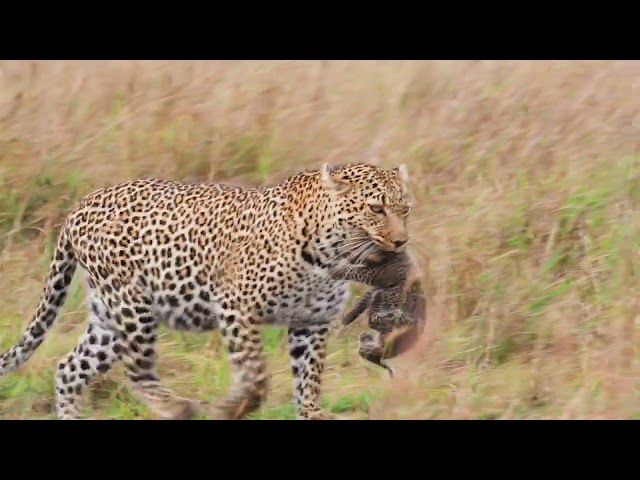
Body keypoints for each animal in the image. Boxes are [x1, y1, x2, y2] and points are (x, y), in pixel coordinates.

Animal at [0, 162, 412, 420]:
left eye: (405, 209)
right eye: (376, 208)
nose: (401, 242)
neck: (329, 255)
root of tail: (80, 205)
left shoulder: (312, 323)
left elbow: (309, 380)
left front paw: (312, 413)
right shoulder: (235, 308)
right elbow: (255, 376)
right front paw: (232, 408)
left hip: (108, 319)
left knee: (69, 368)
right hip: (132, 305)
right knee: (137, 370)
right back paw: (176, 408)